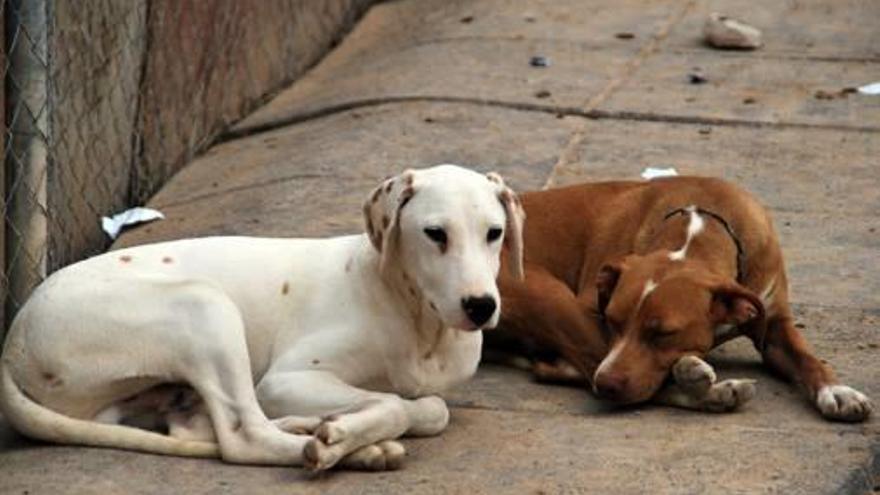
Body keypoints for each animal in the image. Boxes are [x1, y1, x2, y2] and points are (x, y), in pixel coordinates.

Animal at [0, 165, 524, 470]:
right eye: (435, 233)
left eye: (494, 233)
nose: (481, 306)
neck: (417, 321)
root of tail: (12, 340)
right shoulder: (288, 378)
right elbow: (395, 405)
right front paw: (344, 433)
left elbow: (430, 408)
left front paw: (350, 426)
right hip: (203, 305)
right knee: (244, 437)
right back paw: (329, 446)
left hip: (134, 394)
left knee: (197, 427)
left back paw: (328, 437)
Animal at [496, 176, 872, 420]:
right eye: (612, 321)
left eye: (663, 333)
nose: (607, 386)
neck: (700, 229)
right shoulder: (590, 309)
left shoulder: (774, 321)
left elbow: (807, 357)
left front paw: (836, 390)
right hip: (551, 297)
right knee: (578, 367)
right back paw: (706, 386)